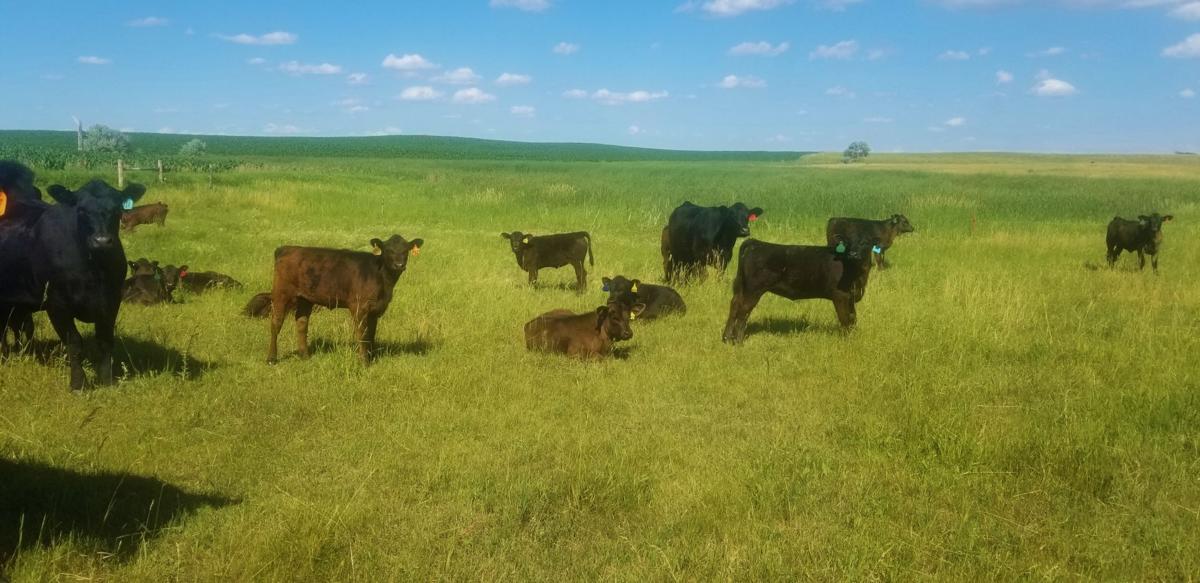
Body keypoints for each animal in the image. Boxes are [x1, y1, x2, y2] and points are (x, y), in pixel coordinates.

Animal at [0, 178, 146, 390]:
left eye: (117, 209)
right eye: (81, 210)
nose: (102, 241)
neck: (93, 269)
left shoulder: (111, 301)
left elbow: (105, 341)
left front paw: (107, 380)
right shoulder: (57, 304)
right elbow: (74, 343)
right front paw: (78, 383)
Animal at [267, 234, 423, 365]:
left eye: (406, 250)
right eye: (388, 250)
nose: (399, 265)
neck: (382, 278)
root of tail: (287, 248)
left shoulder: (375, 309)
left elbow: (371, 333)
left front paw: (371, 357)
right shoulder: (359, 306)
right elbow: (362, 333)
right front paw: (364, 361)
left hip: (305, 298)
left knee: (302, 322)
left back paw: (305, 356)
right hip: (281, 293)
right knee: (276, 322)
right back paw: (271, 358)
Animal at [722, 234, 879, 344]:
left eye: (865, 243)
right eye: (848, 243)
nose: (854, 254)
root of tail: (755, 243)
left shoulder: (851, 296)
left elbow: (853, 318)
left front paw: (854, 337)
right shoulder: (840, 295)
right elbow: (845, 319)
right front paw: (847, 340)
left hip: (742, 288)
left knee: (734, 306)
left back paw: (727, 338)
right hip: (753, 290)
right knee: (743, 312)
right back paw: (738, 341)